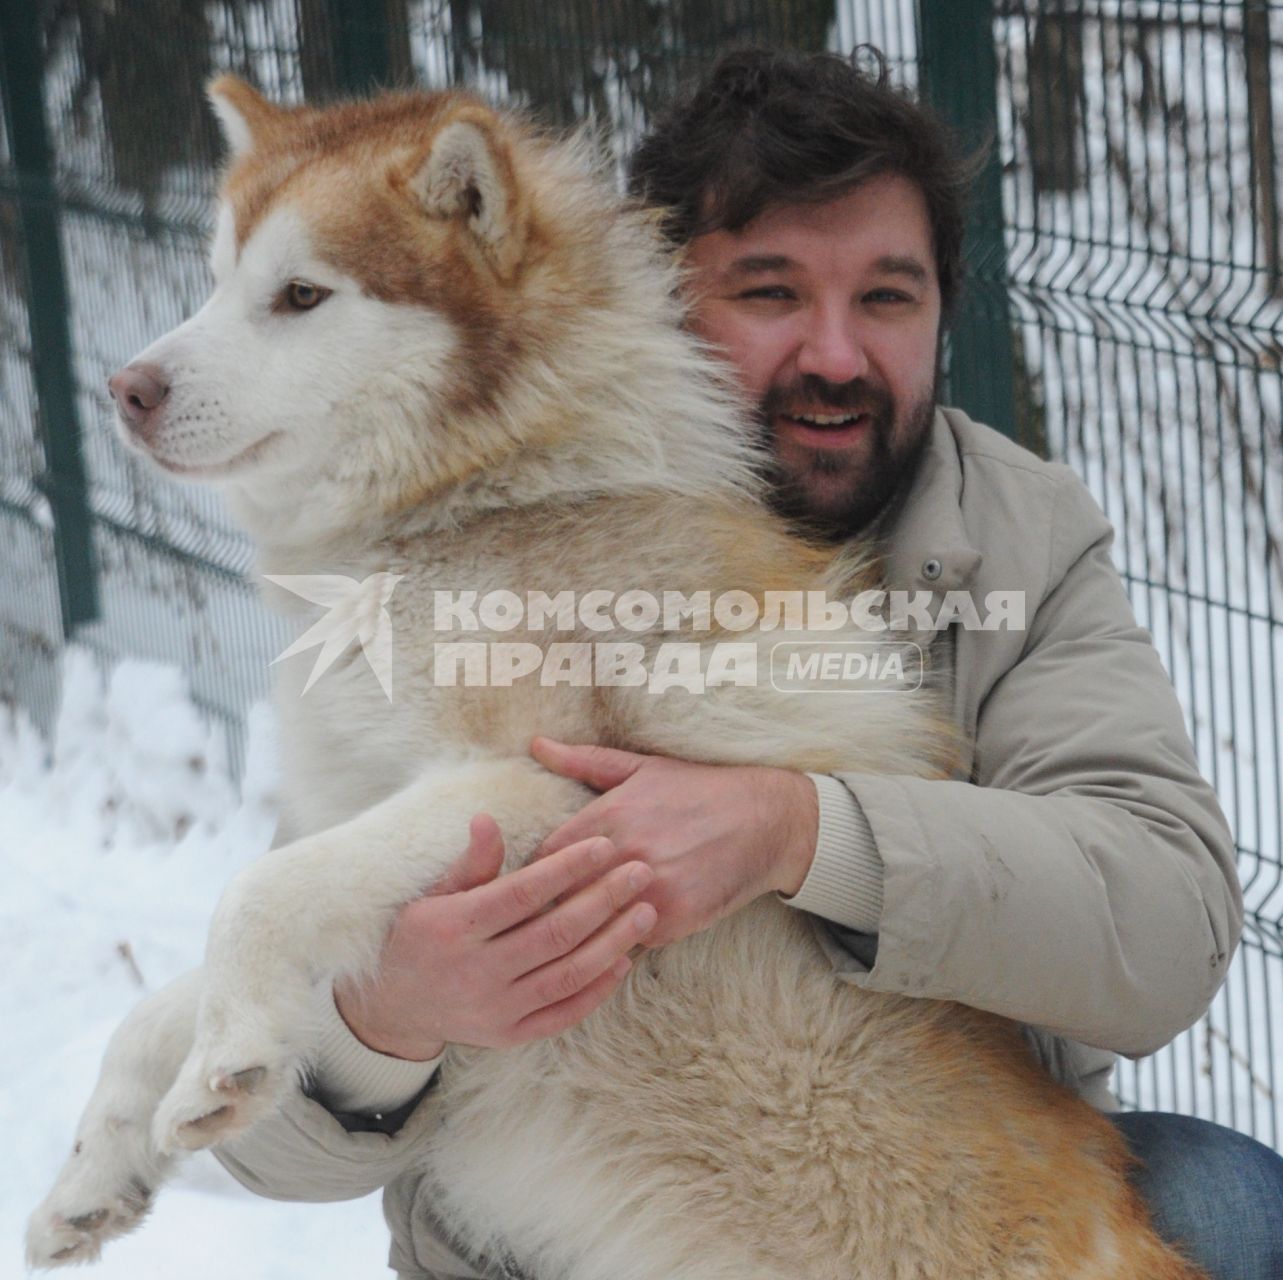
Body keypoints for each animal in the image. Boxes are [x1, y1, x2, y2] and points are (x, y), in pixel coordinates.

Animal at [27, 82, 1200, 1280]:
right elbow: (158, 1006)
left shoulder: (539, 784)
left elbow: (255, 899)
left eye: (300, 294)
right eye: (219, 279)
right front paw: (91, 1179)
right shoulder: (376, 829)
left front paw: (225, 1062)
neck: (484, 501)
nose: (126, 388)